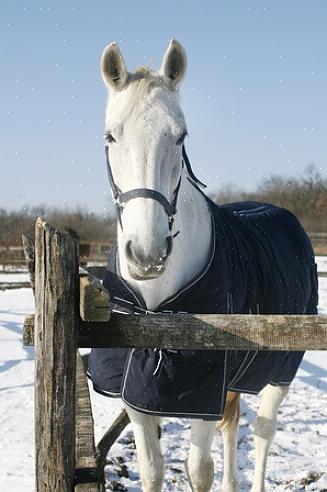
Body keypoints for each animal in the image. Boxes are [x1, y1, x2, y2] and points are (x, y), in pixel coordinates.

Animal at [88, 39, 320, 492]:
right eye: (110, 135)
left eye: (180, 136)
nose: (147, 254)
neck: (157, 308)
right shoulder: (136, 392)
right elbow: (153, 469)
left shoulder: (203, 394)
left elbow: (198, 470)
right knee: (233, 427)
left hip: (280, 369)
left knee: (263, 432)